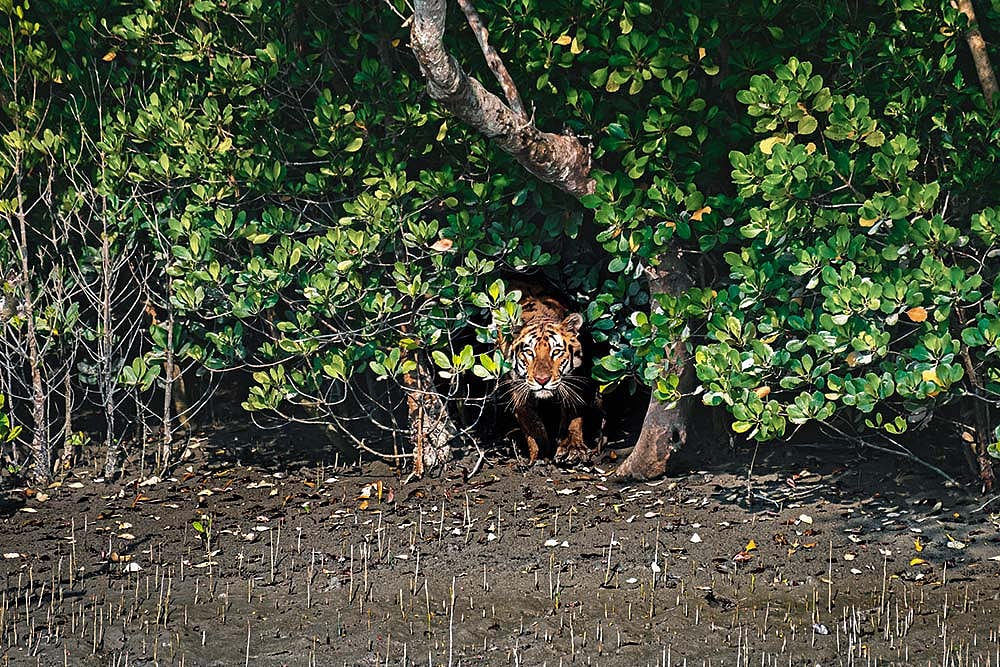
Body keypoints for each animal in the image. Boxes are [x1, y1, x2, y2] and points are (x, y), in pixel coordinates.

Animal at [500, 281, 598, 464]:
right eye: (529, 352)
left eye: (556, 352)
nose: (542, 380)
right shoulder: (519, 390)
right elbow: (532, 423)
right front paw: (540, 454)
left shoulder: (573, 383)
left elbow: (573, 415)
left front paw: (573, 449)